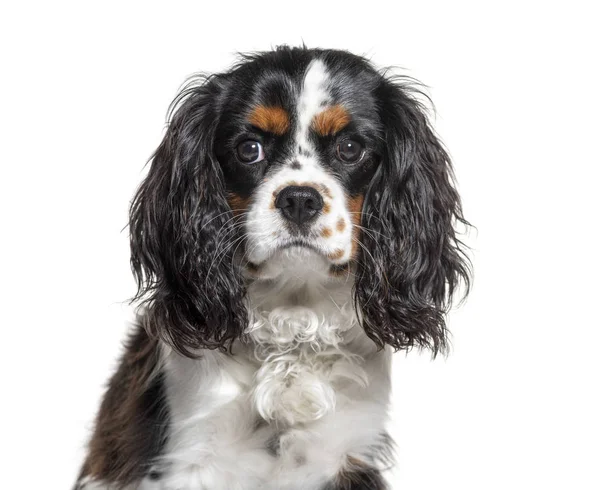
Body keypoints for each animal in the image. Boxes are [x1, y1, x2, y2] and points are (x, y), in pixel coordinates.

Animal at [75, 46, 472, 490]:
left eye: (350, 148)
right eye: (249, 149)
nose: (299, 199)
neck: (293, 322)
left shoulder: (345, 451)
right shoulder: (190, 456)